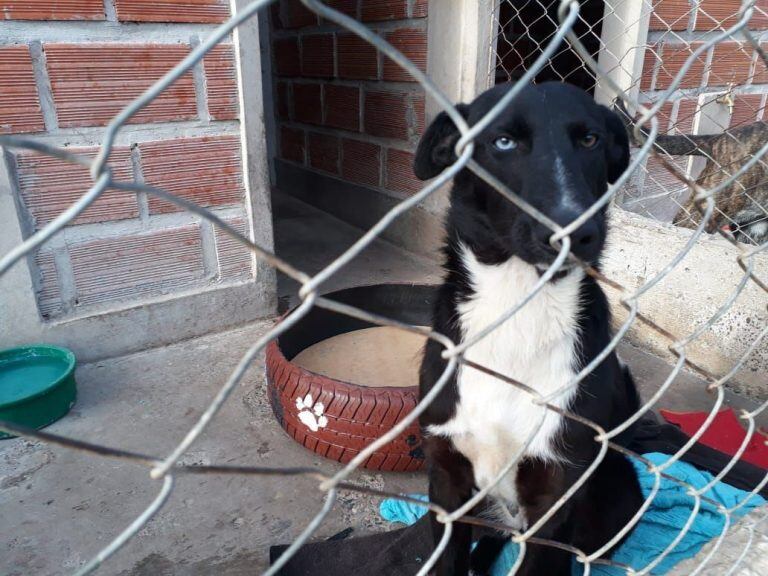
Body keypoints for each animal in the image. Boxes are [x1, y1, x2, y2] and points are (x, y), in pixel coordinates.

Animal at [416, 81, 644, 576]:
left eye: (590, 139)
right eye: (503, 141)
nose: (574, 230)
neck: (519, 306)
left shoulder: (556, 489)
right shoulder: (446, 473)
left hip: (619, 495)